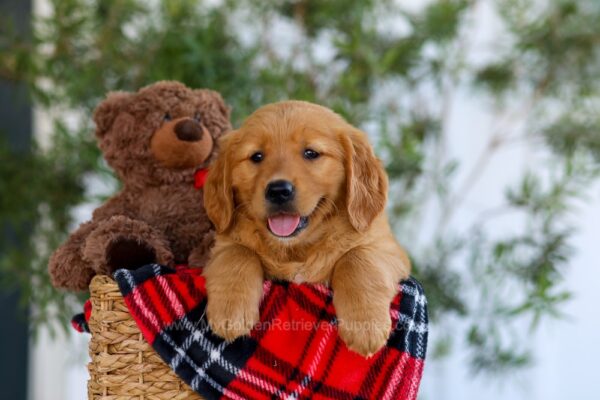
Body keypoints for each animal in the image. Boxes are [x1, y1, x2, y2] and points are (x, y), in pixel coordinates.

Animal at [204, 100, 410, 356]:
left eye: (311, 153)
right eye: (256, 156)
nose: (278, 190)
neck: (296, 248)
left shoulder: (387, 248)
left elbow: (357, 258)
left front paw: (365, 326)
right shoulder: (221, 245)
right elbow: (238, 252)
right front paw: (230, 312)